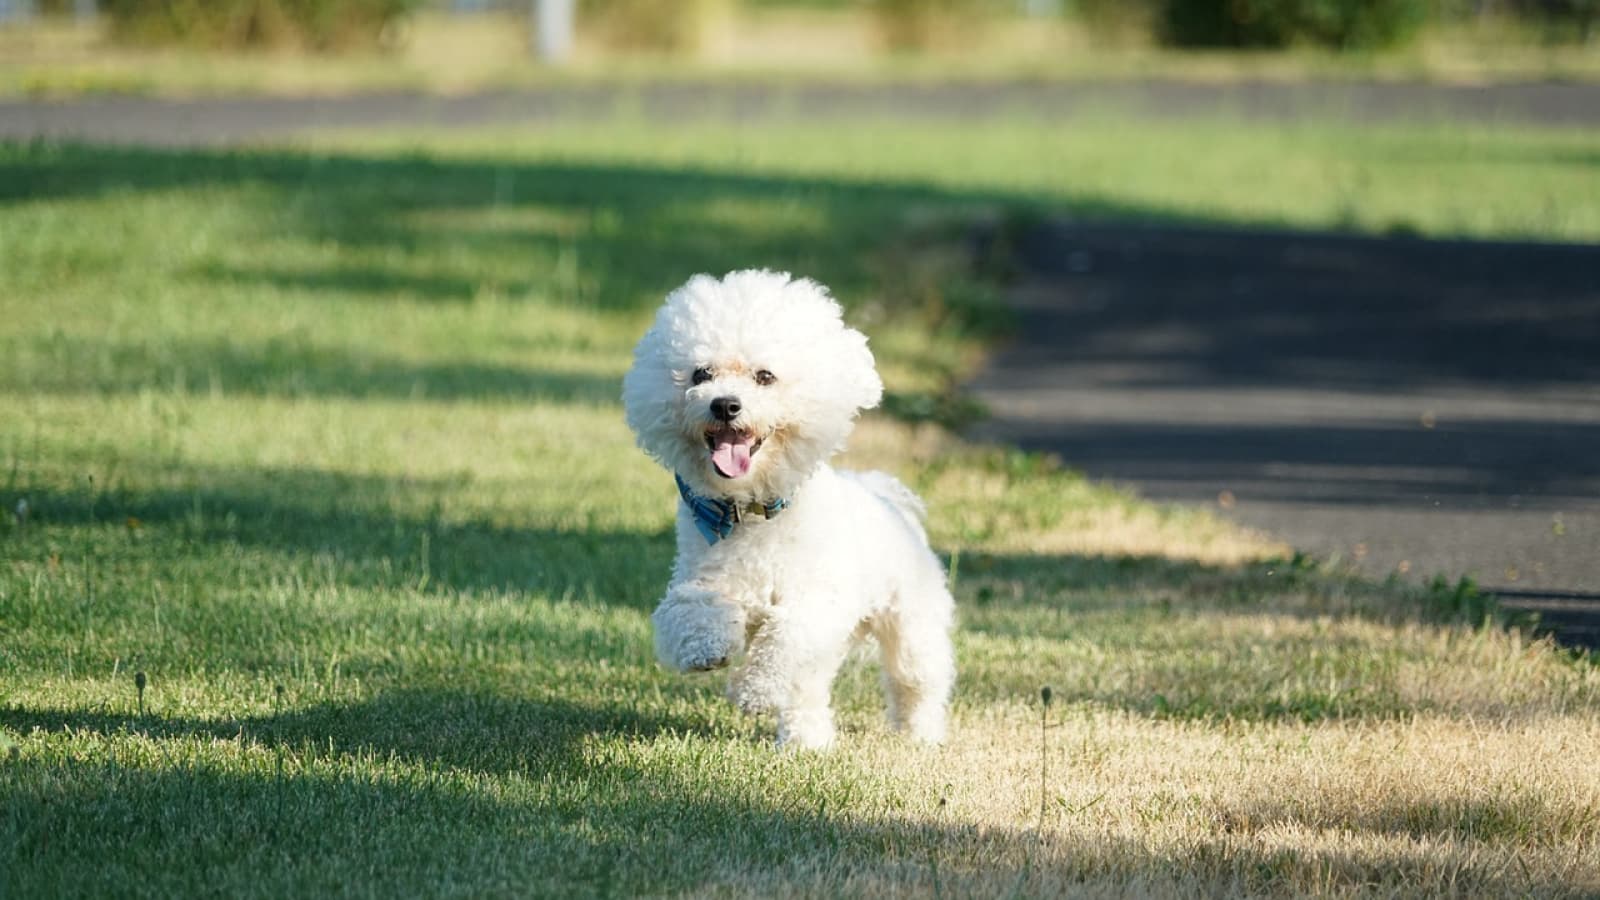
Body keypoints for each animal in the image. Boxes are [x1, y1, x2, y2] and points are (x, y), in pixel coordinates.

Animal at [620, 269, 947, 746]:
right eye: (701, 373)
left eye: (765, 376)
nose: (725, 404)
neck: (753, 512)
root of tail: (884, 495)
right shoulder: (701, 577)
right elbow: (689, 609)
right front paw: (708, 649)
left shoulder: (818, 602)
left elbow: (786, 638)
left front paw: (753, 690)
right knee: (809, 691)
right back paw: (806, 742)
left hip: (911, 622)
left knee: (915, 680)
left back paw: (920, 734)